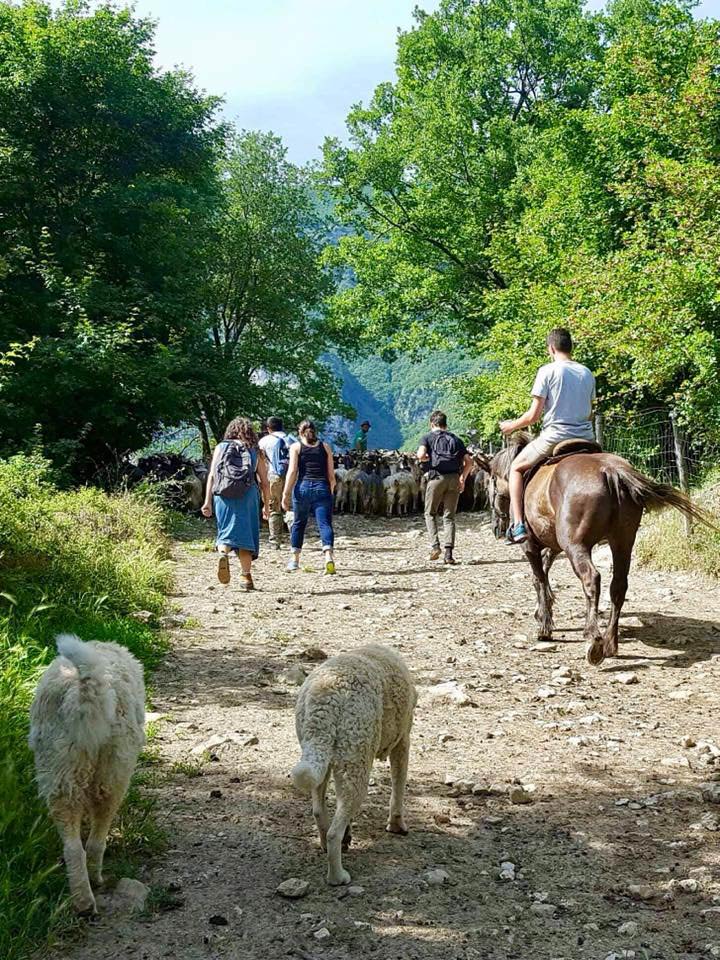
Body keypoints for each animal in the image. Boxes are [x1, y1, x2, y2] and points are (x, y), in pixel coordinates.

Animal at [29, 634, 145, 915]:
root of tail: (84, 689)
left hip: (59, 773)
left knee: (73, 848)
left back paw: (82, 900)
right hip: (113, 774)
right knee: (95, 840)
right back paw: (95, 880)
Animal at [291, 643, 417, 886]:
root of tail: (326, 698)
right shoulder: (402, 741)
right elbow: (398, 787)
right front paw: (397, 826)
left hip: (322, 753)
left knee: (320, 811)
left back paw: (326, 843)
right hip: (356, 763)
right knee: (335, 830)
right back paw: (338, 876)